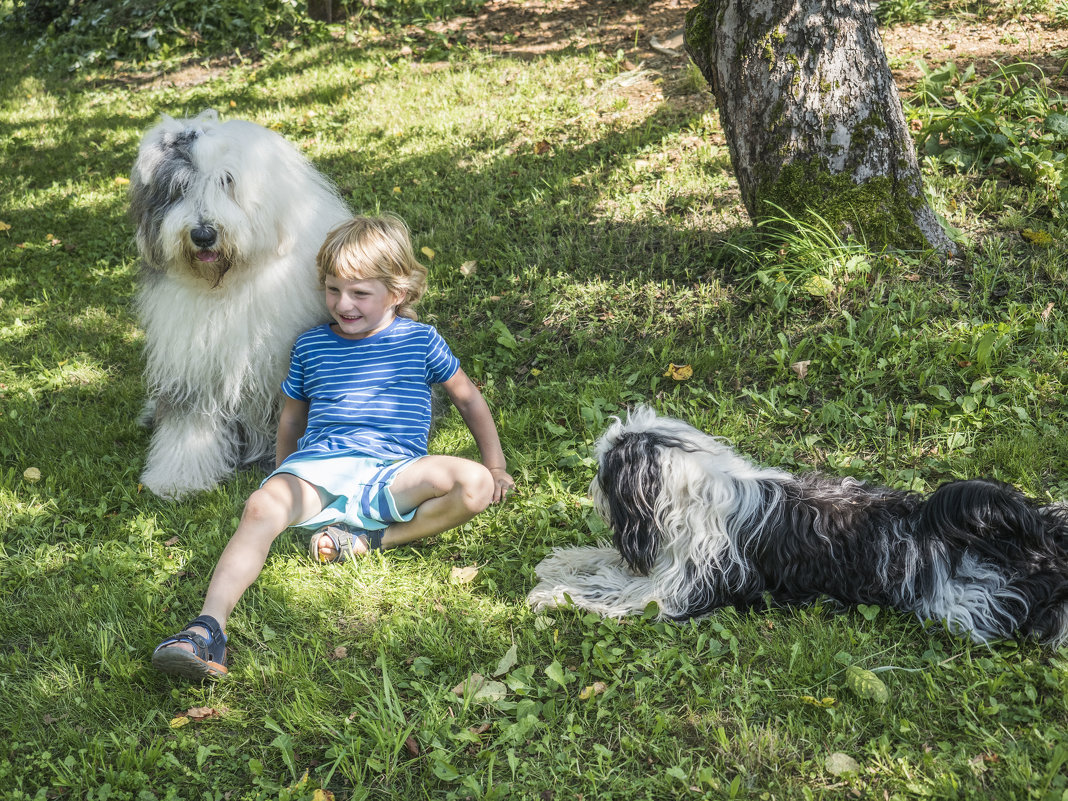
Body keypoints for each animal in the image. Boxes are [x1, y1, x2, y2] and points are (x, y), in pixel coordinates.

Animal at [127, 110, 348, 499]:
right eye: (180, 186)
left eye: (226, 181)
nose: (203, 234)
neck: (227, 287)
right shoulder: (194, 368)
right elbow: (189, 425)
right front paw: (177, 479)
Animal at [527, 407, 1068, 645]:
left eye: (606, 468)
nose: (591, 475)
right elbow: (602, 560)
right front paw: (559, 563)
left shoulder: (676, 591)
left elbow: (611, 591)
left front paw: (553, 595)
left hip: (963, 604)